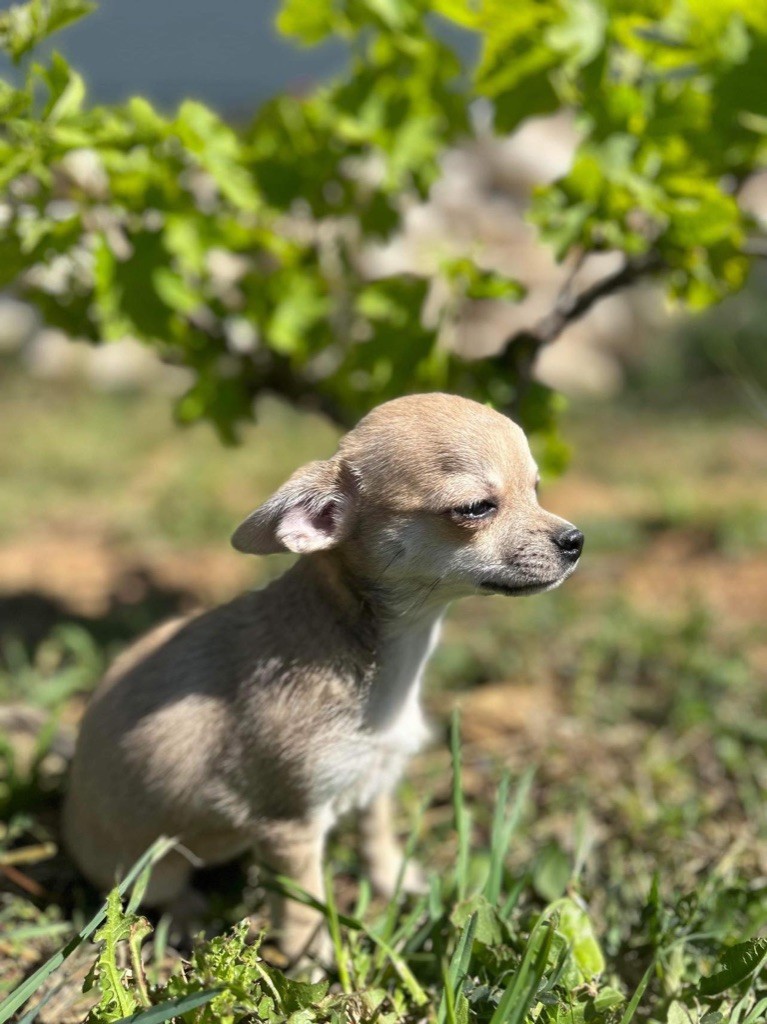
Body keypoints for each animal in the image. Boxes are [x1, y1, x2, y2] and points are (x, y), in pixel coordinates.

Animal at [64, 389, 581, 958]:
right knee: (160, 893)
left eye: (536, 490)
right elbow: (303, 898)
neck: (388, 659)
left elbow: (376, 835)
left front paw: (395, 881)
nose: (575, 540)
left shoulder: (378, 778)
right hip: (151, 866)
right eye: (476, 508)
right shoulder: (291, 826)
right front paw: (311, 955)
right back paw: (186, 917)